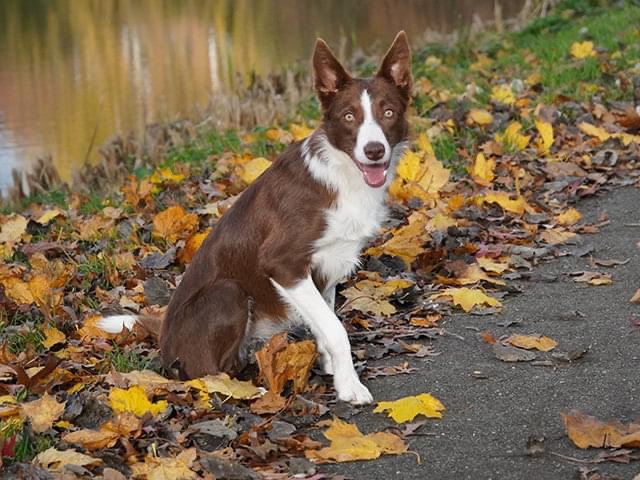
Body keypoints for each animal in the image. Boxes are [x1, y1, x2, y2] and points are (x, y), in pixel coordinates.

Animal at [99, 32, 412, 404]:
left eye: (388, 112)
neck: (343, 173)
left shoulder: (328, 266)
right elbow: (336, 329)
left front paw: (333, 369)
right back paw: (240, 387)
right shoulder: (283, 263)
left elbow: (325, 321)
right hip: (227, 293)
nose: (374, 151)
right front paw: (350, 386)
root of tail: (162, 338)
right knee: (204, 372)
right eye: (349, 116)